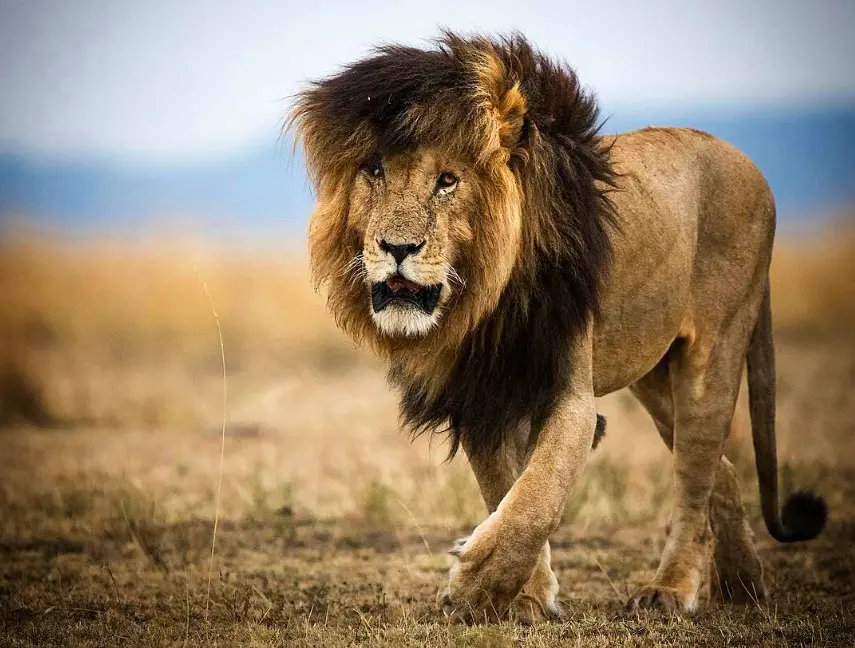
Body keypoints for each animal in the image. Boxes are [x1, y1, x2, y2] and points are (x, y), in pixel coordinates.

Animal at [288, 32, 827, 622]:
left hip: (713, 351)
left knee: (695, 474)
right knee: (719, 470)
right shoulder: (481, 396)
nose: (396, 248)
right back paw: (744, 584)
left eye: (447, 181)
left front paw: (476, 584)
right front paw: (523, 596)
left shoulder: (568, 392)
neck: (486, 301)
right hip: (655, 377)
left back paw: (670, 589)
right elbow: (505, 488)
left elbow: (538, 494)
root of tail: (749, 166)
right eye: (375, 172)